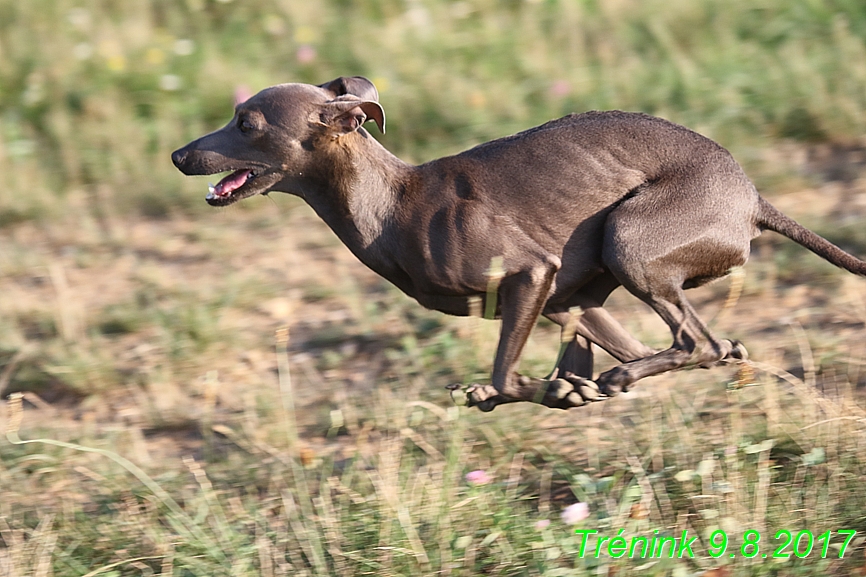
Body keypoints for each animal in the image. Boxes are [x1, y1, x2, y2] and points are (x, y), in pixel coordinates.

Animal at [170, 76, 864, 410]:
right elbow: (554, 368)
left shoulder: (532, 271)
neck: (392, 203)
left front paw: (542, 390)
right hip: (597, 284)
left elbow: (505, 375)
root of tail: (753, 199)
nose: (178, 155)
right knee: (701, 349)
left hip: (630, 241)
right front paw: (562, 389)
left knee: (701, 342)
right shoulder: (559, 296)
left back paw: (617, 378)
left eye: (246, 122)